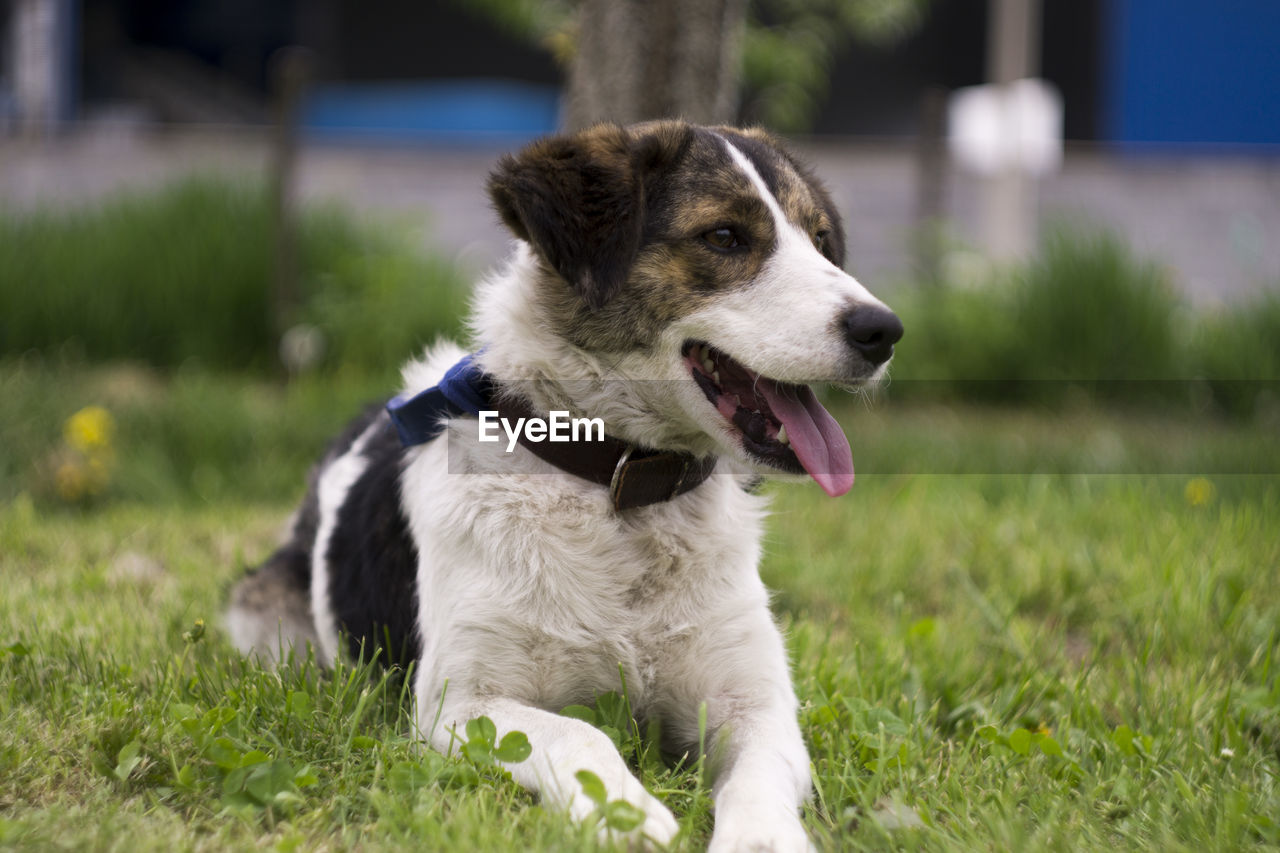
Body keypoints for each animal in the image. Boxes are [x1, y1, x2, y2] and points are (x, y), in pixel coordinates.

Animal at [232, 121, 911, 850]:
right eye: (726, 236)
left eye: (819, 239)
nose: (882, 330)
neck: (620, 489)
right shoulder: (461, 701)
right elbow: (582, 734)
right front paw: (626, 813)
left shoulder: (754, 704)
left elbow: (756, 786)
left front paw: (757, 840)